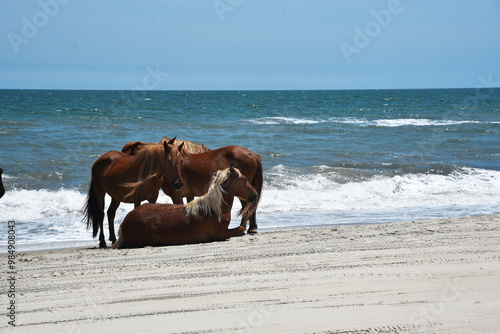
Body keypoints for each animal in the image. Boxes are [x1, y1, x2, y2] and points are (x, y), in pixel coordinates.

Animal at [109, 167, 258, 248]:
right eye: (245, 180)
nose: (255, 195)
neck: (214, 209)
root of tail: (125, 221)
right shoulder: (220, 235)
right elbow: (241, 228)